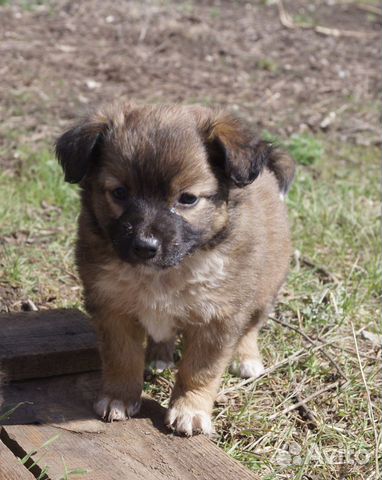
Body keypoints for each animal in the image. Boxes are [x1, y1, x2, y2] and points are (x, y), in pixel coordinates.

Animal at [55, 103, 296, 436]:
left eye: (188, 199)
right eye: (119, 193)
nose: (145, 246)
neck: (166, 272)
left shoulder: (217, 318)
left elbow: (199, 370)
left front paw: (189, 409)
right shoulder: (112, 309)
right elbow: (121, 358)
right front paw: (119, 397)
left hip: (265, 288)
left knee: (251, 326)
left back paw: (246, 358)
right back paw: (159, 355)